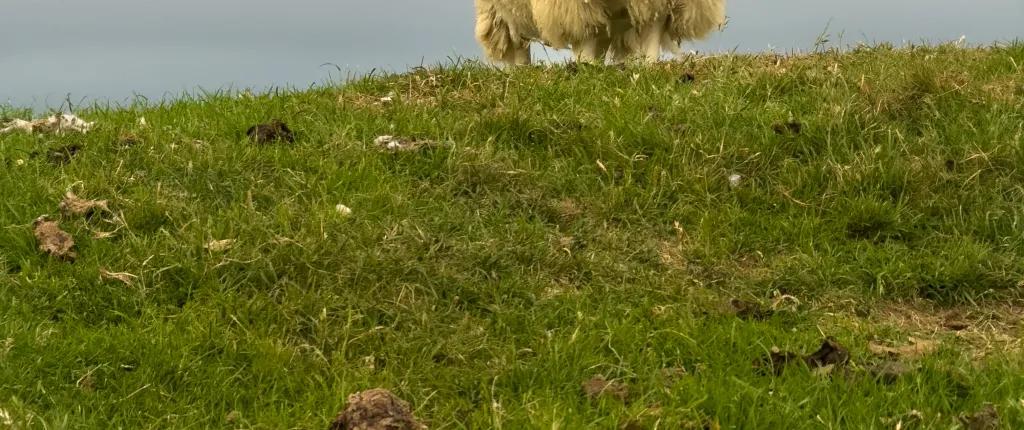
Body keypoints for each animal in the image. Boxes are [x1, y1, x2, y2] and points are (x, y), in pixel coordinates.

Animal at [474, 0, 726, 65]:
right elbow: (584, 39)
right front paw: (583, 69)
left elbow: (652, 41)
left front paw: (648, 69)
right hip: (498, 12)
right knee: (518, 46)